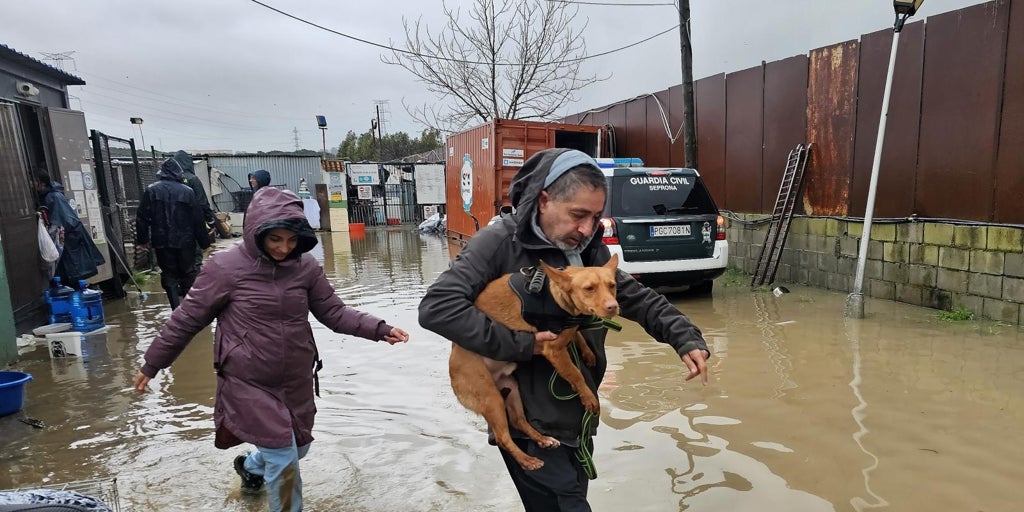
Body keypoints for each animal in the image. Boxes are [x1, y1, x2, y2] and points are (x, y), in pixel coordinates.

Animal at [449, 254, 620, 471]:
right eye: (589, 288)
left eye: (612, 285)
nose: (613, 306)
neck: (554, 295)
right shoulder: (554, 351)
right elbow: (575, 374)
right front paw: (588, 398)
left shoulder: (568, 331)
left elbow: (577, 335)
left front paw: (587, 353)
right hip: (492, 399)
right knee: (503, 438)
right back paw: (527, 460)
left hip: (512, 389)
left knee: (518, 421)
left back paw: (543, 439)